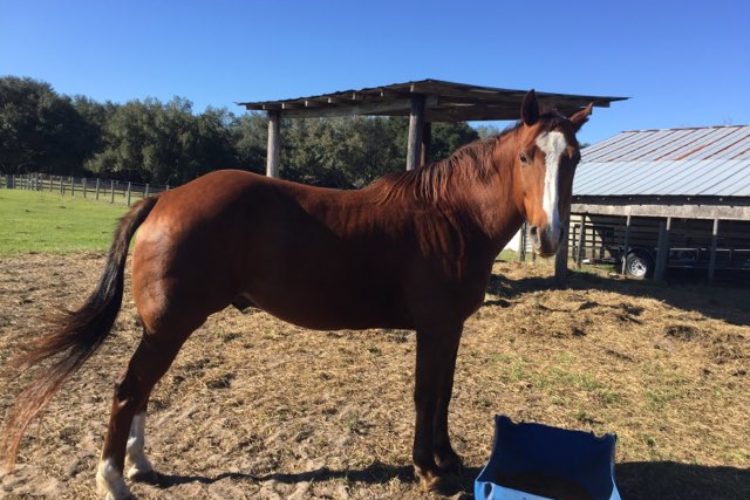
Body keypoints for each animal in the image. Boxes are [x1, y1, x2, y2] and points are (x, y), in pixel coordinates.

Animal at [1, 90, 591, 498]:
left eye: (574, 158)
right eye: (526, 157)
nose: (547, 237)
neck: (449, 214)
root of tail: (164, 199)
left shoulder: (451, 329)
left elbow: (444, 394)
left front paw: (447, 460)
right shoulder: (434, 327)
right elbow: (427, 395)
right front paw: (428, 469)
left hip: (165, 329)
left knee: (141, 392)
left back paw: (139, 465)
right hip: (169, 327)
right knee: (127, 391)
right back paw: (114, 480)